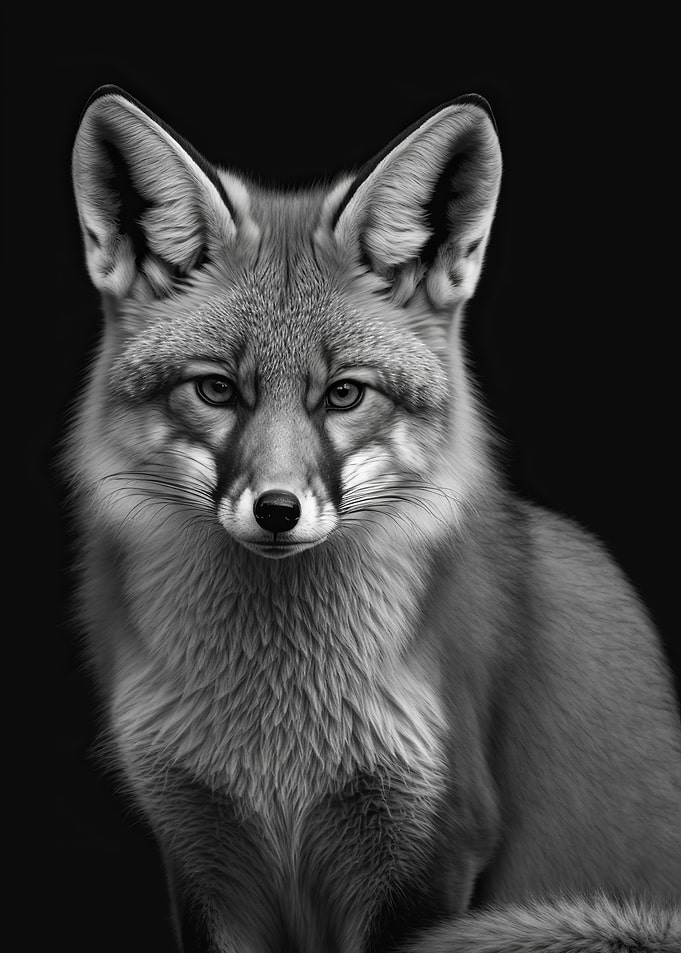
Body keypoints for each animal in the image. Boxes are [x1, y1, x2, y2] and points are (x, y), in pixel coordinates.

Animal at [65, 85, 681, 953]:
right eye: (216, 389)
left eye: (344, 394)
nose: (277, 509)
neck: (276, 742)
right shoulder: (199, 853)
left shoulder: (434, 842)